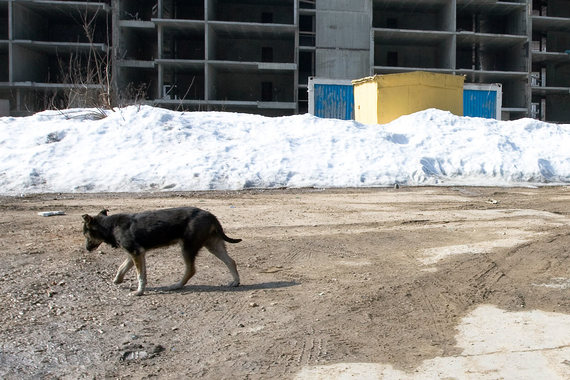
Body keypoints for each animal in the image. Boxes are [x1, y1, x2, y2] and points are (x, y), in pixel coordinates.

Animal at [81, 206, 240, 296]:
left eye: (85, 234)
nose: (87, 249)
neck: (111, 226)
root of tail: (211, 216)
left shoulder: (135, 252)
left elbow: (139, 275)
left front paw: (139, 292)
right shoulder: (137, 253)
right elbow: (124, 267)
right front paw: (117, 279)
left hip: (188, 247)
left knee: (191, 269)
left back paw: (177, 285)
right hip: (213, 244)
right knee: (231, 261)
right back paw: (235, 281)